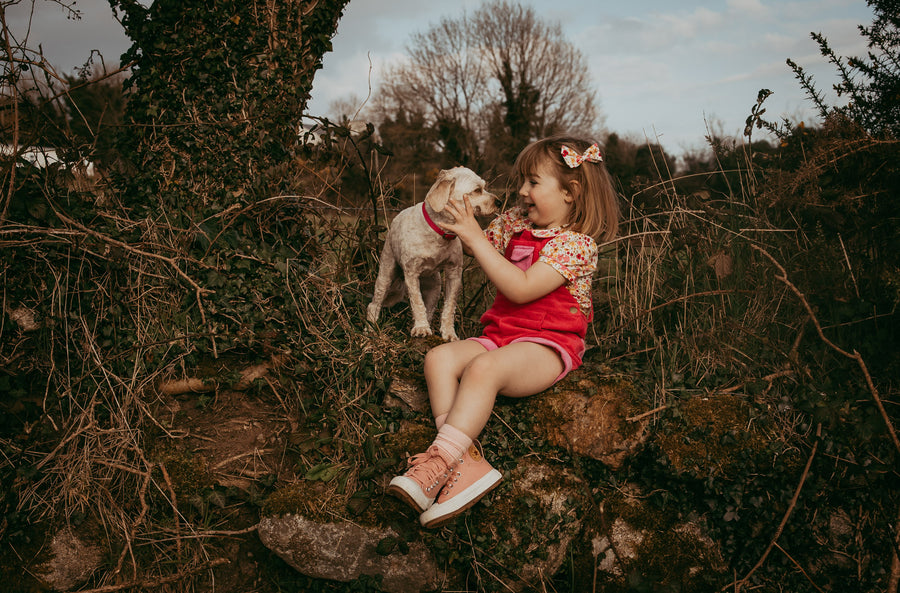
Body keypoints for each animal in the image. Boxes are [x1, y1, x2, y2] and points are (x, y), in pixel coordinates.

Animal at [370, 169, 502, 340]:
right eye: (477, 190)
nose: (499, 202)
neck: (439, 233)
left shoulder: (454, 273)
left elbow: (449, 307)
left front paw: (449, 333)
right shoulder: (411, 273)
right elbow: (417, 302)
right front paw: (421, 328)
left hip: (434, 288)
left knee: (429, 311)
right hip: (385, 275)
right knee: (374, 305)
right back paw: (370, 330)